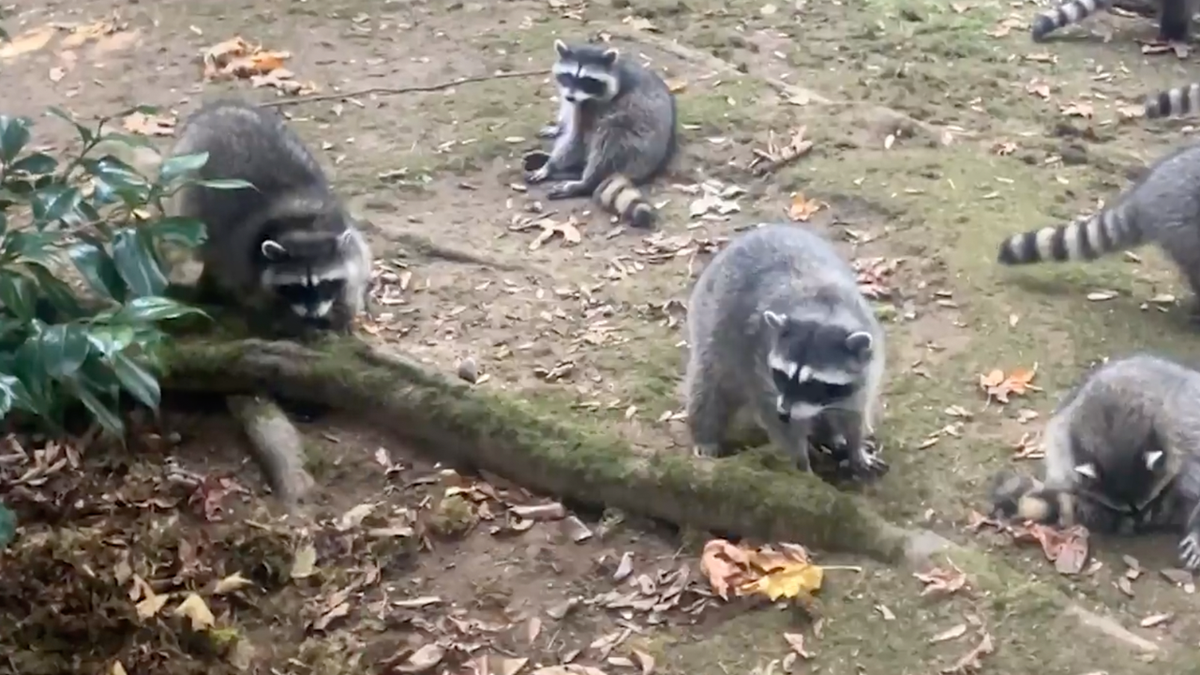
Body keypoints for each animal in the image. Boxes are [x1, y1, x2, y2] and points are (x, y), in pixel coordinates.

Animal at [165, 96, 369, 333]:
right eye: (295, 287)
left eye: (325, 283)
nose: (312, 313)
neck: (305, 226)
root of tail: (216, 108)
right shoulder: (241, 255)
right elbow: (253, 293)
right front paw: (282, 320)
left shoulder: (348, 236)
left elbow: (356, 272)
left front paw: (344, 310)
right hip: (187, 186)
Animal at [523, 39, 676, 228]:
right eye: (568, 76)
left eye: (587, 81)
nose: (571, 97)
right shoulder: (574, 100)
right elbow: (568, 120)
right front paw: (557, 129)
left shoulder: (594, 106)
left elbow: (577, 138)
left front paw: (551, 166)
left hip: (637, 143)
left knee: (607, 139)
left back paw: (583, 181)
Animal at [681, 223, 888, 475]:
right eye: (781, 374)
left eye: (813, 384)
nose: (785, 413)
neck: (823, 312)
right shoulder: (759, 365)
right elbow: (778, 422)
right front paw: (802, 464)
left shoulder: (868, 364)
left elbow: (854, 410)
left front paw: (855, 447)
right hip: (710, 322)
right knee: (709, 385)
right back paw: (705, 434)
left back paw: (831, 435)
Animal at [988, 355, 1200, 569]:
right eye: (1122, 510)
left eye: (1148, 504)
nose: (1138, 525)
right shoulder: (1066, 438)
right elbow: (1062, 467)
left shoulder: (1185, 439)